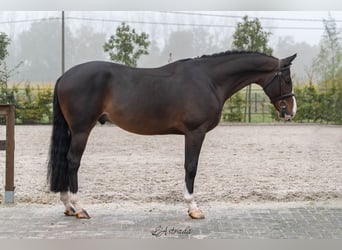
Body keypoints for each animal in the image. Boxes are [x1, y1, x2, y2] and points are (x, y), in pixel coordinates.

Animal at [48, 50, 296, 219]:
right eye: (287, 79)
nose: (291, 111)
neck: (209, 80)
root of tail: (64, 76)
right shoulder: (195, 133)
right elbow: (191, 167)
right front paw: (193, 208)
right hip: (81, 130)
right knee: (72, 162)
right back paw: (79, 208)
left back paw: (68, 206)